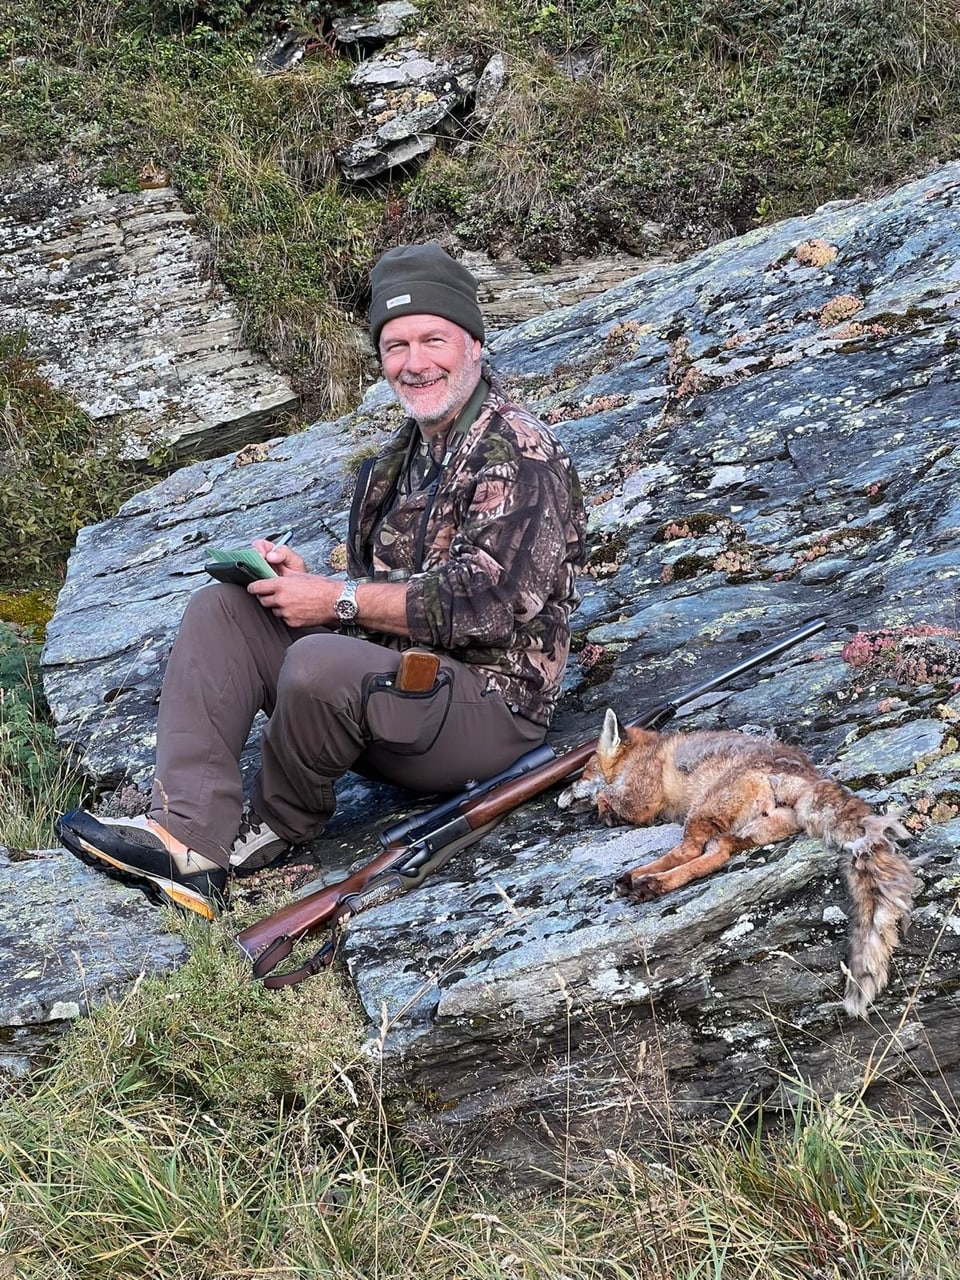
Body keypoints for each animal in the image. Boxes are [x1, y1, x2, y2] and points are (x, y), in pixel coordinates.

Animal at [560, 706, 921, 1013]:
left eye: (585, 770)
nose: (560, 798)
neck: (643, 754)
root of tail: (807, 776)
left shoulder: (641, 800)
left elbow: (610, 798)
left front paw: (602, 807)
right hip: (744, 831)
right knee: (715, 856)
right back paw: (644, 881)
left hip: (701, 811)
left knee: (690, 851)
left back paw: (645, 881)